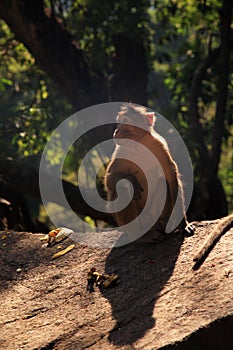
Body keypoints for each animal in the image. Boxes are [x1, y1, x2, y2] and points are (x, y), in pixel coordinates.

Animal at [104, 102, 194, 242]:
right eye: (119, 122)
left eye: (125, 121)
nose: (116, 131)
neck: (139, 142)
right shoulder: (120, 151)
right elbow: (109, 179)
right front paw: (132, 180)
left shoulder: (160, 146)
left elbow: (172, 178)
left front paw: (183, 225)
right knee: (122, 187)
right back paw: (140, 237)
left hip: (154, 216)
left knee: (163, 182)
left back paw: (163, 227)